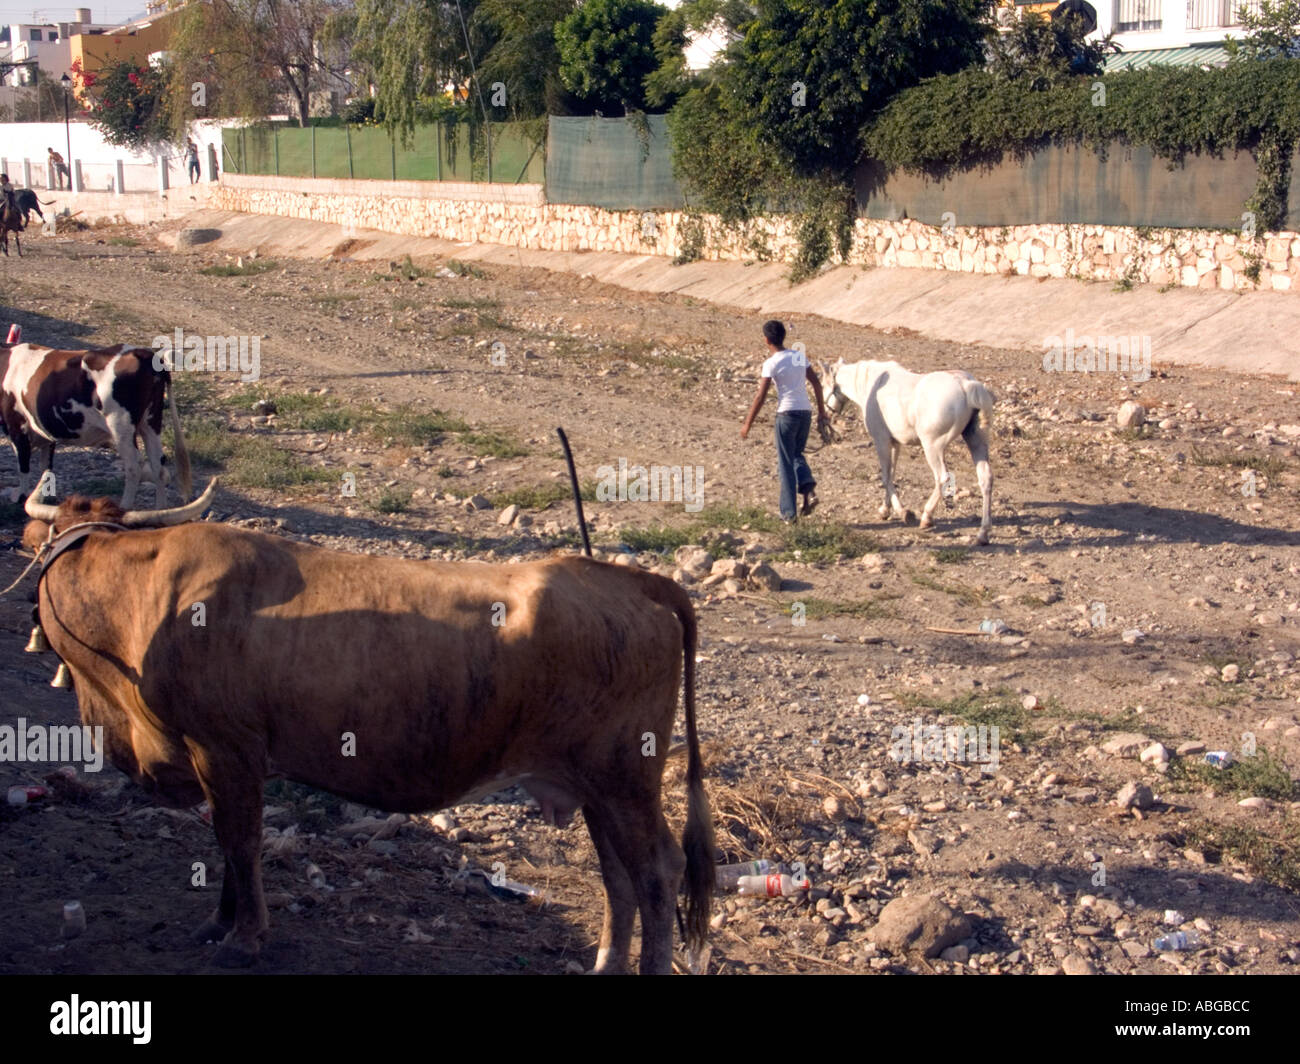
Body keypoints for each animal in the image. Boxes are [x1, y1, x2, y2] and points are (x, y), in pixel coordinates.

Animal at [0, 342, 192, 508]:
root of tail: (143, 354)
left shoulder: (17, 426)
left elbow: (23, 466)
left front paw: (21, 497)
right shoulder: (46, 433)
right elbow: (46, 468)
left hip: (120, 425)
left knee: (134, 466)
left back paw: (124, 508)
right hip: (151, 422)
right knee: (157, 464)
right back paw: (161, 509)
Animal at [22, 480, 715, 974]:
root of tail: (628, 579)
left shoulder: (226, 750)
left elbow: (239, 841)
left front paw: (244, 937)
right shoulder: (218, 758)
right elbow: (227, 844)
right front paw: (219, 923)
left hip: (624, 778)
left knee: (657, 872)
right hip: (596, 788)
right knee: (620, 880)